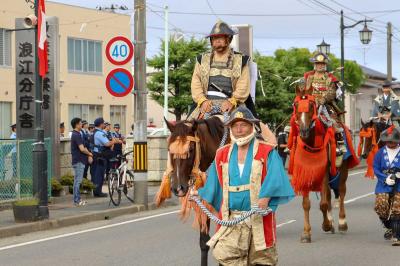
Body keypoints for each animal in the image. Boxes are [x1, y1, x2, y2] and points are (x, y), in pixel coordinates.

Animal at [290, 87, 358, 243]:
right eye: (296, 105)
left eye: (311, 105)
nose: (304, 130)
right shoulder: (306, 172)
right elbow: (307, 204)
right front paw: (306, 233)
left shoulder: (325, 171)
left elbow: (324, 203)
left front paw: (326, 225)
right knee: (328, 194)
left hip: (342, 169)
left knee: (341, 192)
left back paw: (341, 223)